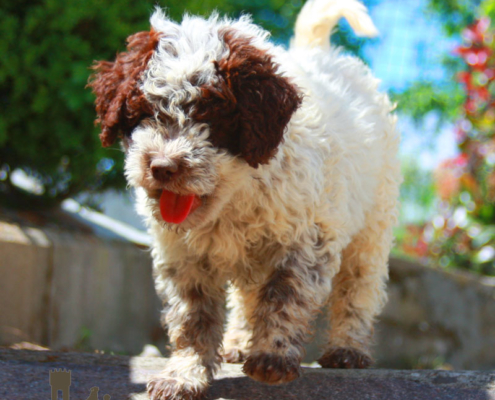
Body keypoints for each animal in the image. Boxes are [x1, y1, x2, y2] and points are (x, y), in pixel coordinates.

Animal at [89, 0, 404, 400]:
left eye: (210, 115)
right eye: (144, 112)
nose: (162, 167)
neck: (235, 194)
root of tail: (320, 54)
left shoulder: (307, 240)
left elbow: (284, 296)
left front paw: (273, 357)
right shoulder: (182, 255)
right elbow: (193, 315)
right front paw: (185, 373)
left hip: (373, 220)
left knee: (359, 285)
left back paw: (348, 348)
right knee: (246, 296)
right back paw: (238, 341)